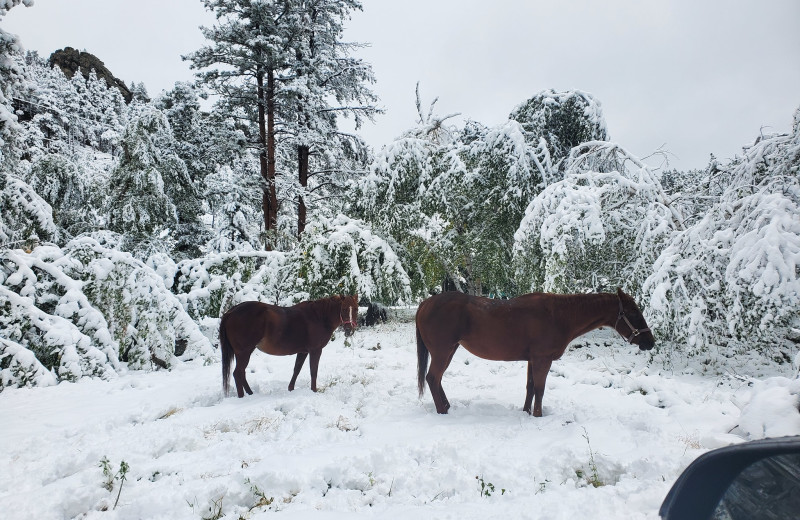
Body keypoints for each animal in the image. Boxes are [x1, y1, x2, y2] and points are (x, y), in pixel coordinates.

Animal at [219, 296, 356, 398]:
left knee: (241, 373)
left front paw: (291, 389)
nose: (349, 330)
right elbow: (313, 371)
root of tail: (231, 312)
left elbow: (296, 370)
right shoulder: (315, 350)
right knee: (238, 373)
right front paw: (314, 391)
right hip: (244, 352)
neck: (319, 317)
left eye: (355, 309)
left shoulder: (303, 352)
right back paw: (242, 397)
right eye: (344, 309)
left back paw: (250, 393)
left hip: (242, 353)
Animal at [416, 290, 652, 416]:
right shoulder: (542, 359)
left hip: (450, 350)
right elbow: (540, 388)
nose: (650, 342)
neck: (559, 316)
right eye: (633, 313)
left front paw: (526, 412)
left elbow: (530, 387)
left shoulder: (532, 360)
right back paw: (443, 411)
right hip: (442, 351)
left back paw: (447, 406)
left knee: (437, 379)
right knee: (433, 378)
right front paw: (538, 415)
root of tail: (426, 303)